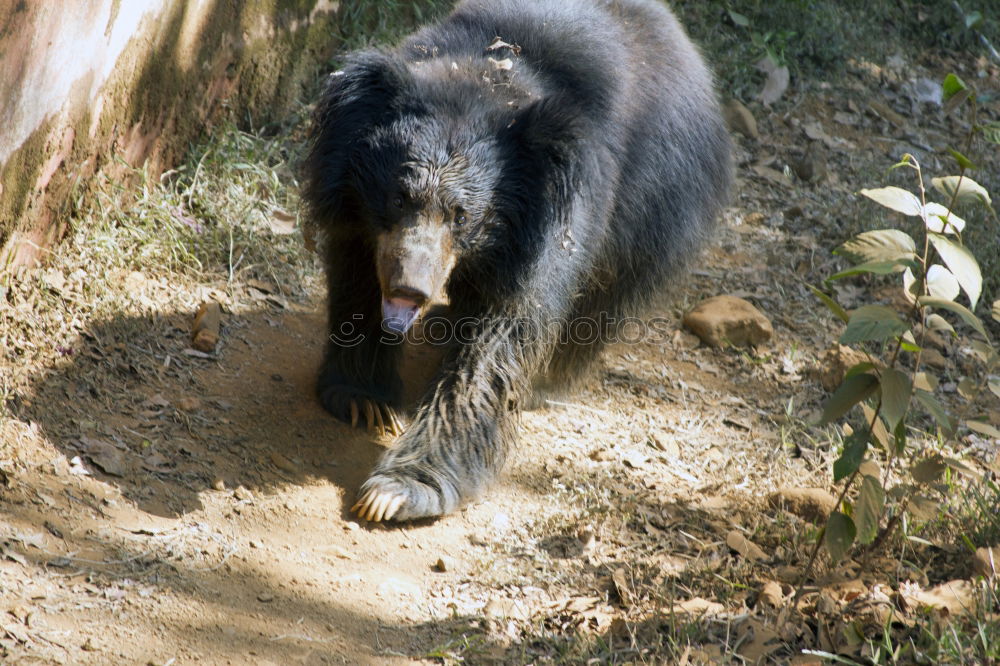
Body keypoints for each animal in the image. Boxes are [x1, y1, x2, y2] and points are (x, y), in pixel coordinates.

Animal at [300, 0, 732, 520]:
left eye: (462, 215)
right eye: (398, 197)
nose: (410, 290)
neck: (491, 71)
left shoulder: (545, 234)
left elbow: (494, 347)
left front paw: (396, 493)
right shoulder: (354, 207)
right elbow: (357, 278)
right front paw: (364, 402)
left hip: (654, 211)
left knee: (601, 303)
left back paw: (547, 381)